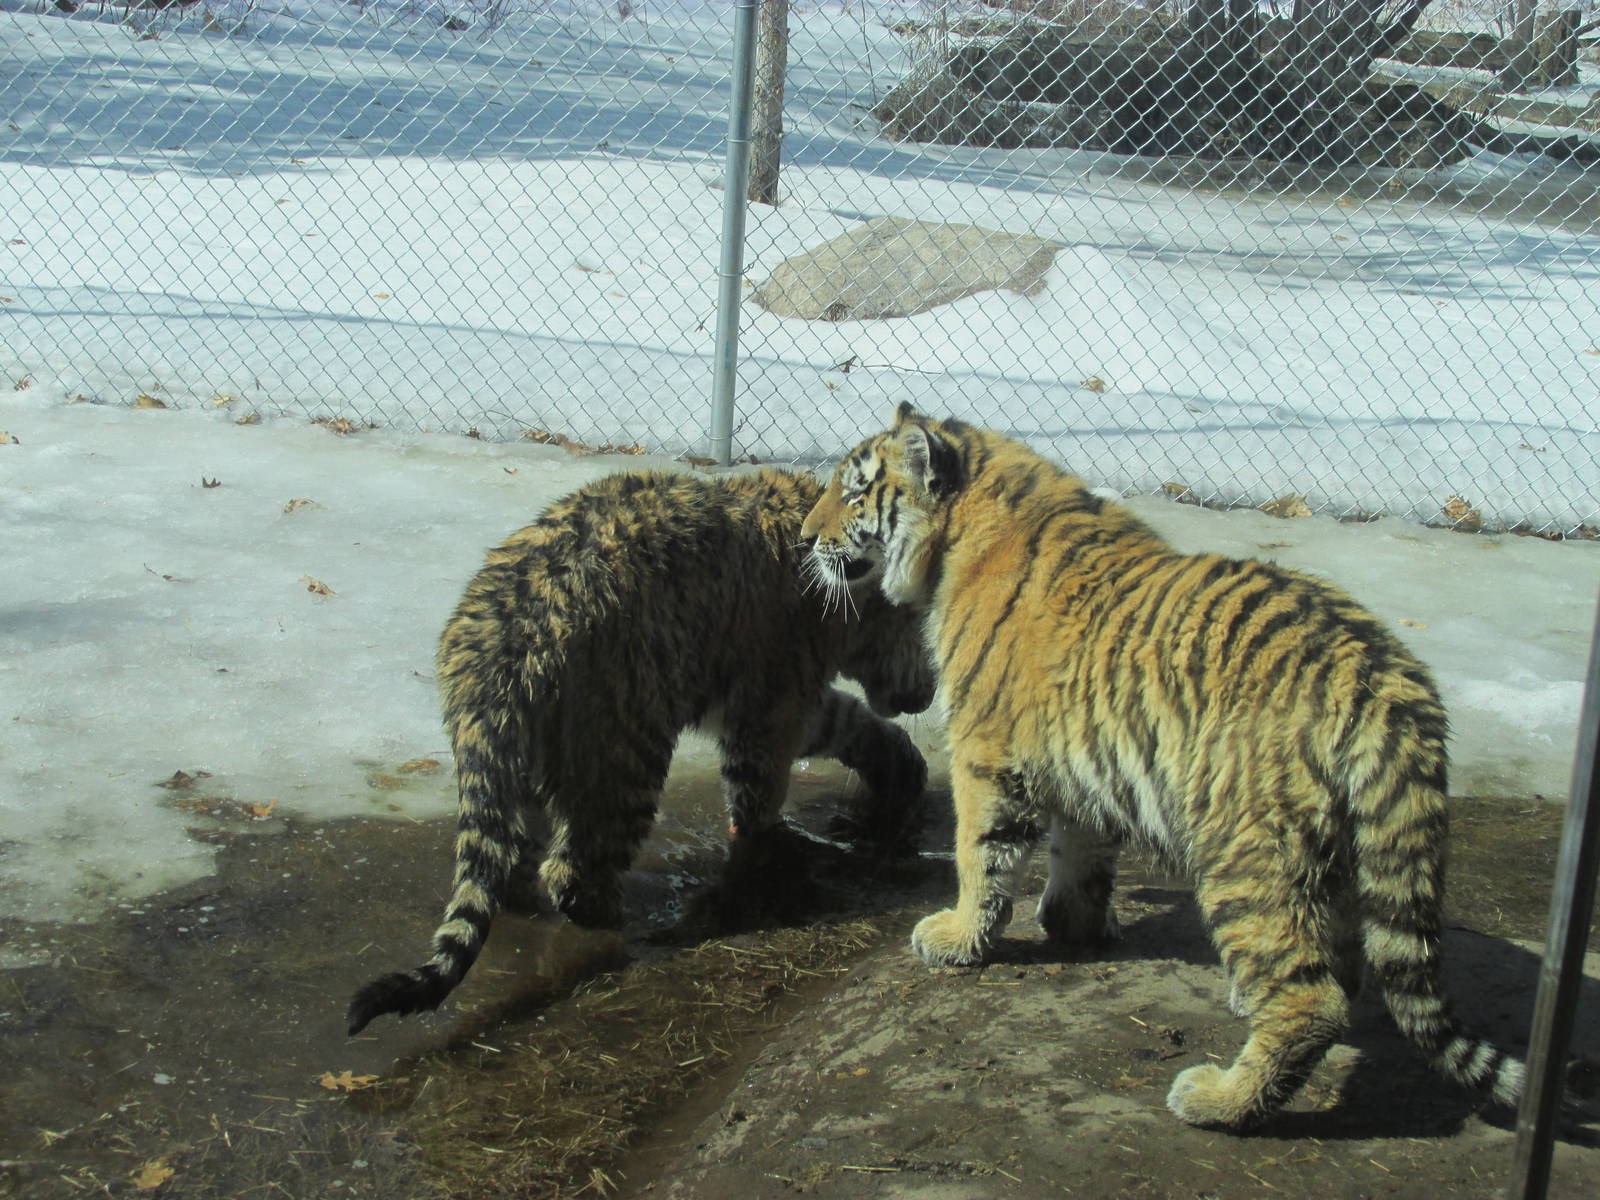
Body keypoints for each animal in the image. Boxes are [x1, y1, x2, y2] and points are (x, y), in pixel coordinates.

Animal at [346, 467, 934, 1037]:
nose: (929, 693)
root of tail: (499, 641)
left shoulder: (784, 699)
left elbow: (850, 724)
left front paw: (905, 769)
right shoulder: (769, 704)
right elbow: (760, 789)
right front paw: (768, 842)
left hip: (529, 763)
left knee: (511, 856)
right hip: (626, 752)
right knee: (573, 871)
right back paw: (633, 922)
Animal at [799, 402, 1526, 1130]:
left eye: (856, 492)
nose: (807, 536)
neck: (959, 534)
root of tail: (1385, 677)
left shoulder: (987, 750)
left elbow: (981, 855)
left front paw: (957, 939)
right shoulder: (1078, 752)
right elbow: (1082, 850)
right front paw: (1073, 924)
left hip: (1245, 849)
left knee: (1311, 1001)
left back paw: (1219, 1098)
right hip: (1334, 850)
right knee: (1342, 966)